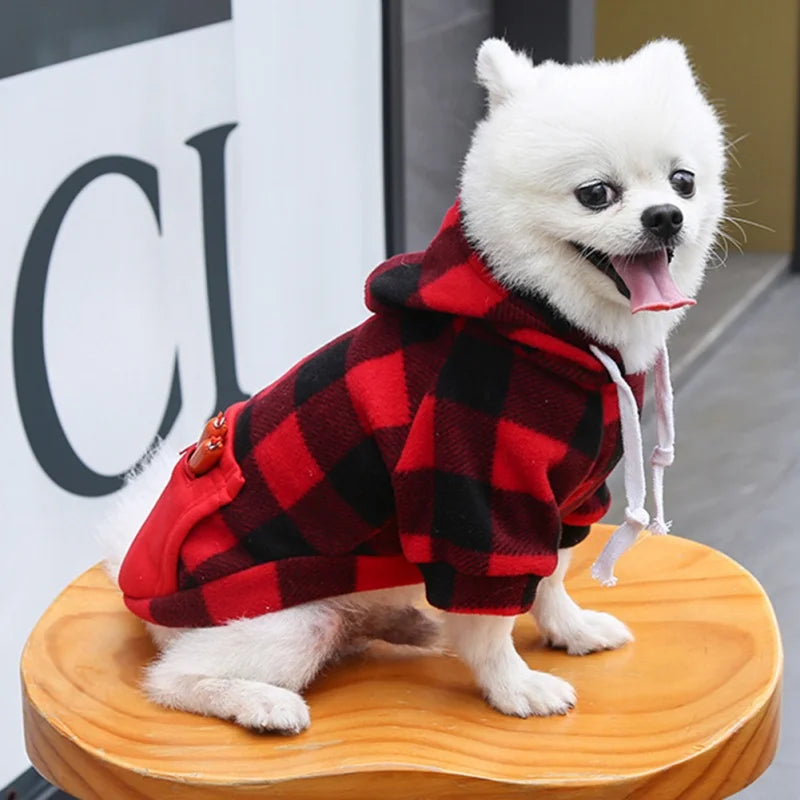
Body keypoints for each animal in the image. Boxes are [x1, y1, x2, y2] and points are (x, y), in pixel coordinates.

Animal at [100, 40, 724, 736]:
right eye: (596, 194)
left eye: (683, 181)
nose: (665, 216)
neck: (548, 323)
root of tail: (132, 568)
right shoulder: (472, 498)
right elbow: (490, 615)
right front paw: (512, 686)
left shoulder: (565, 497)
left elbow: (553, 576)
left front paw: (570, 629)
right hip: (283, 618)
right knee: (172, 679)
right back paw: (261, 702)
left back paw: (403, 622)